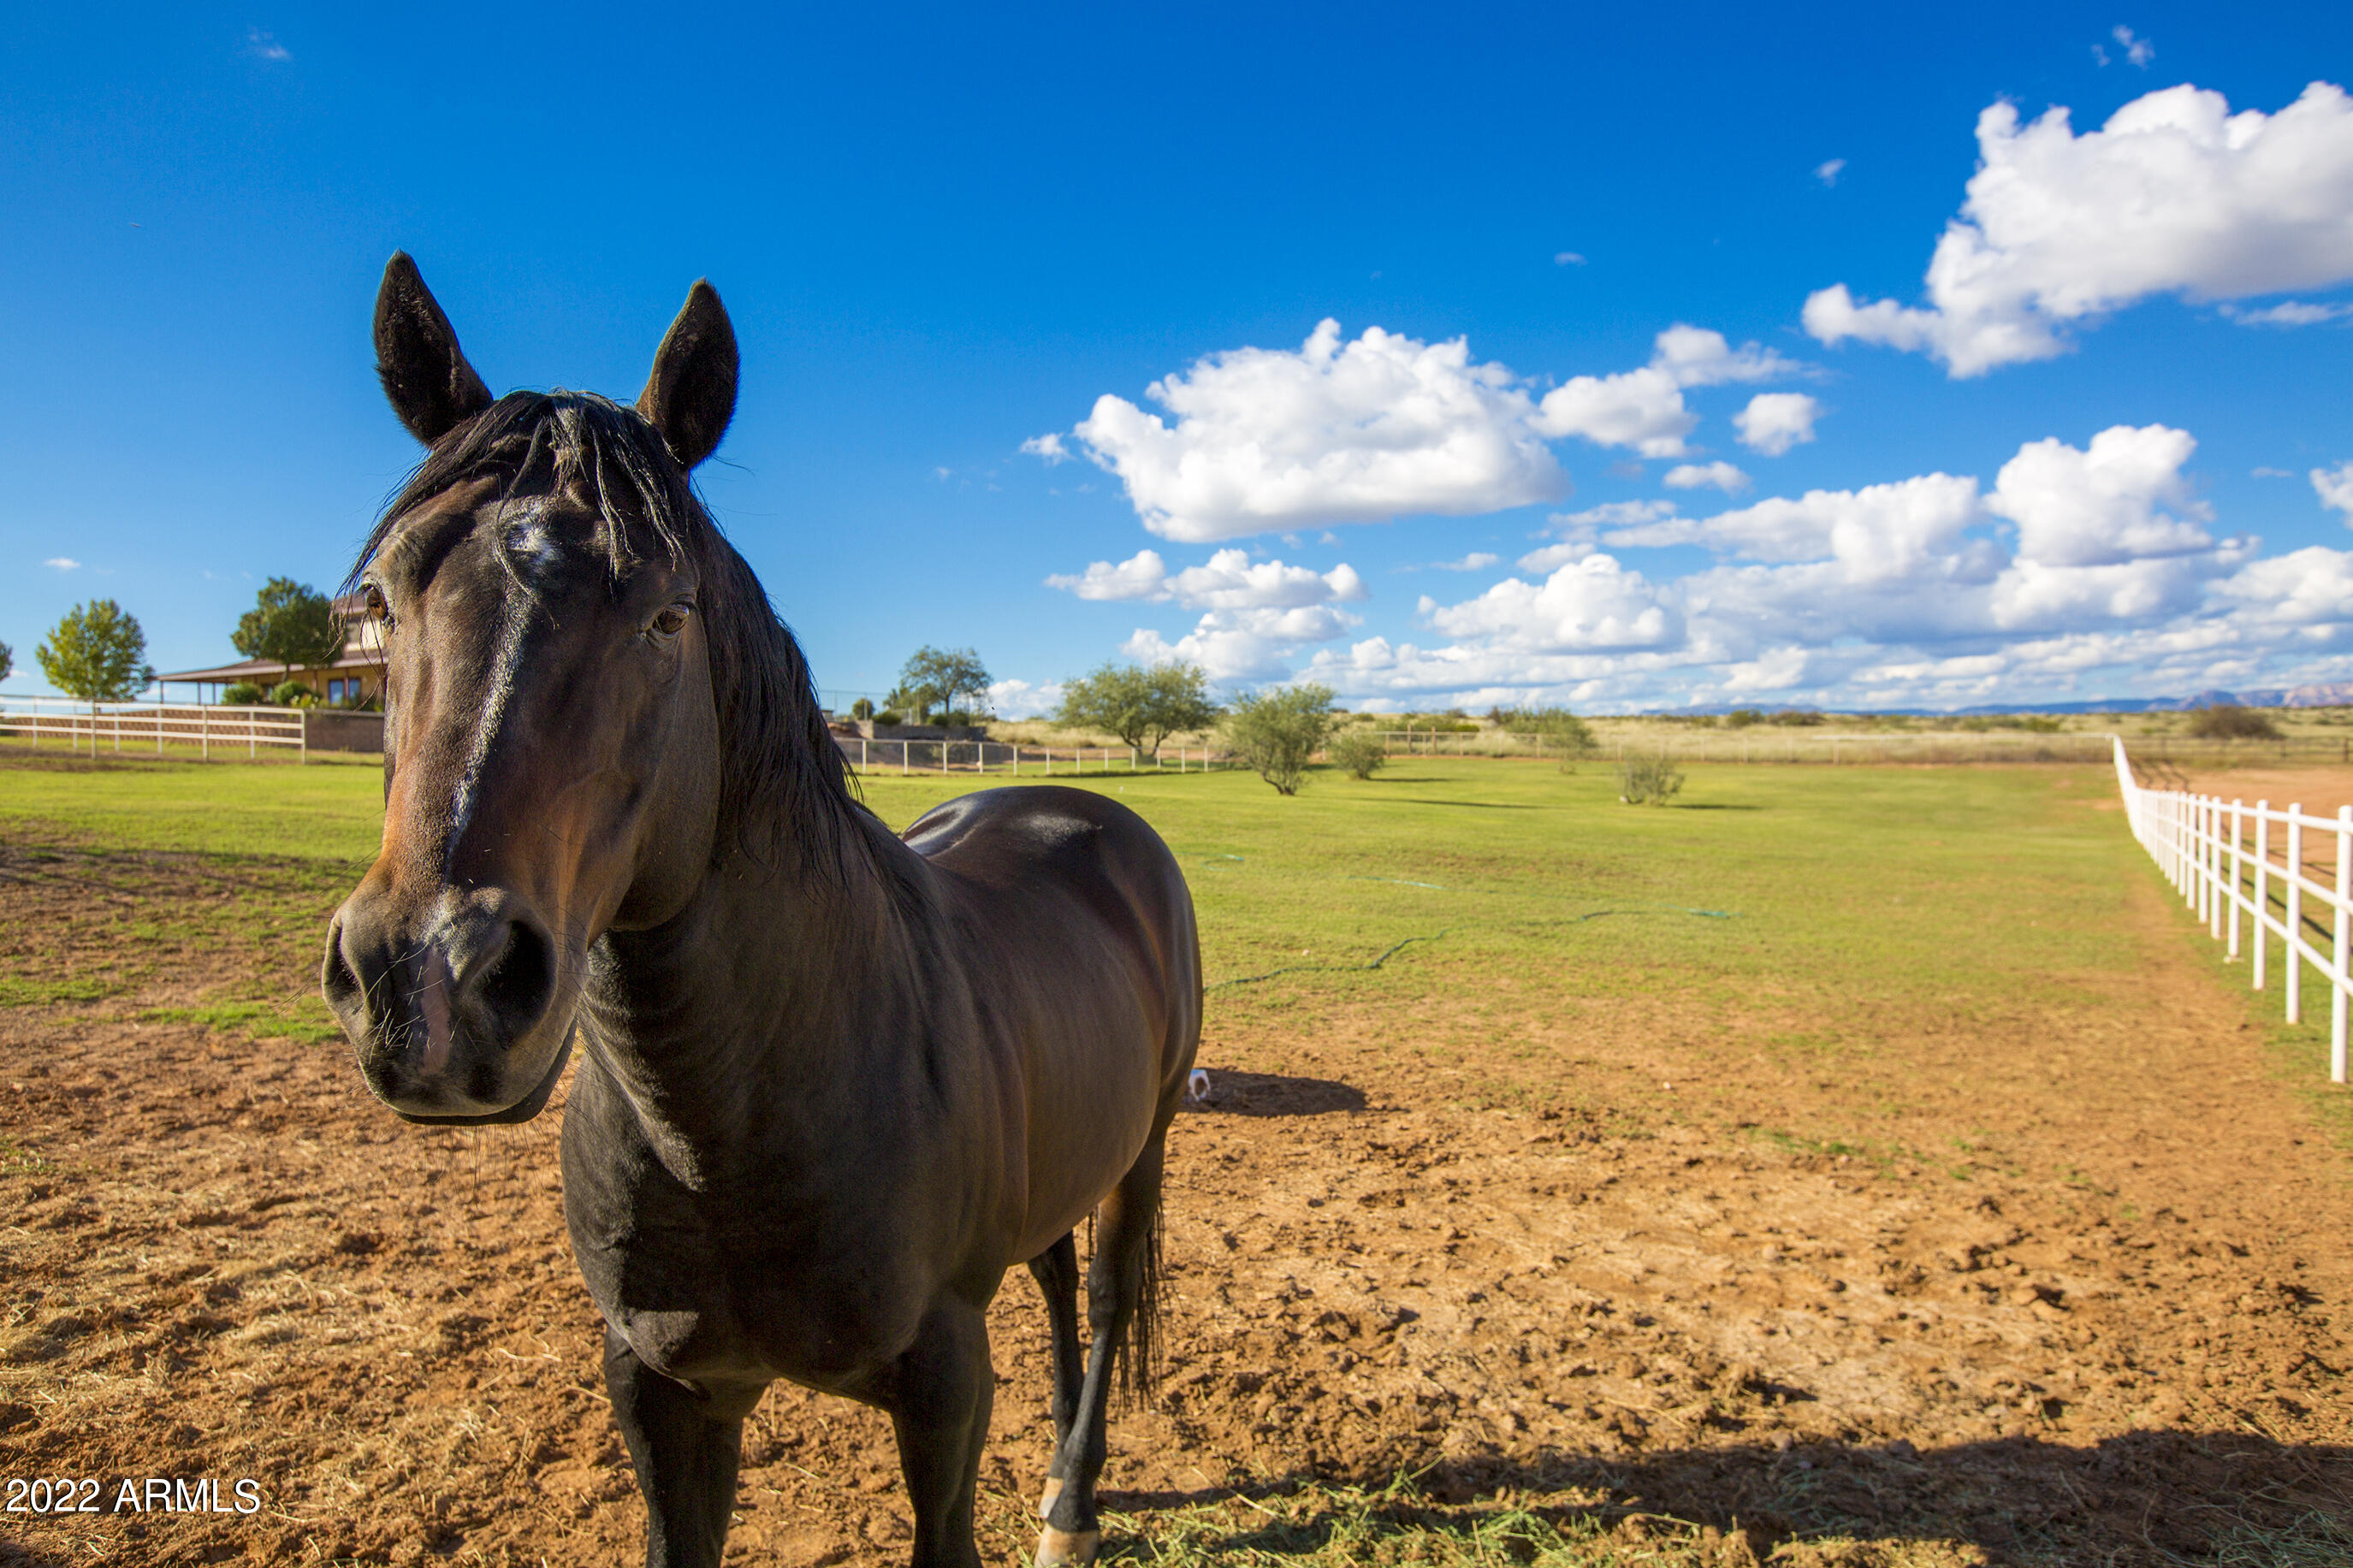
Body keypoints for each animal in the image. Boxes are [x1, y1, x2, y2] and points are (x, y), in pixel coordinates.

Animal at [322, 253, 1202, 1568]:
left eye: (665, 612)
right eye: (382, 601)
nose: (435, 986)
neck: (733, 1117)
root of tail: (1079, 808)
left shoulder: (943, 1385)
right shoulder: (661, 1391)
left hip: (1140, 1150)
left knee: (1097, 1294)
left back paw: (1074, 1500)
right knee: (1052, 1279)